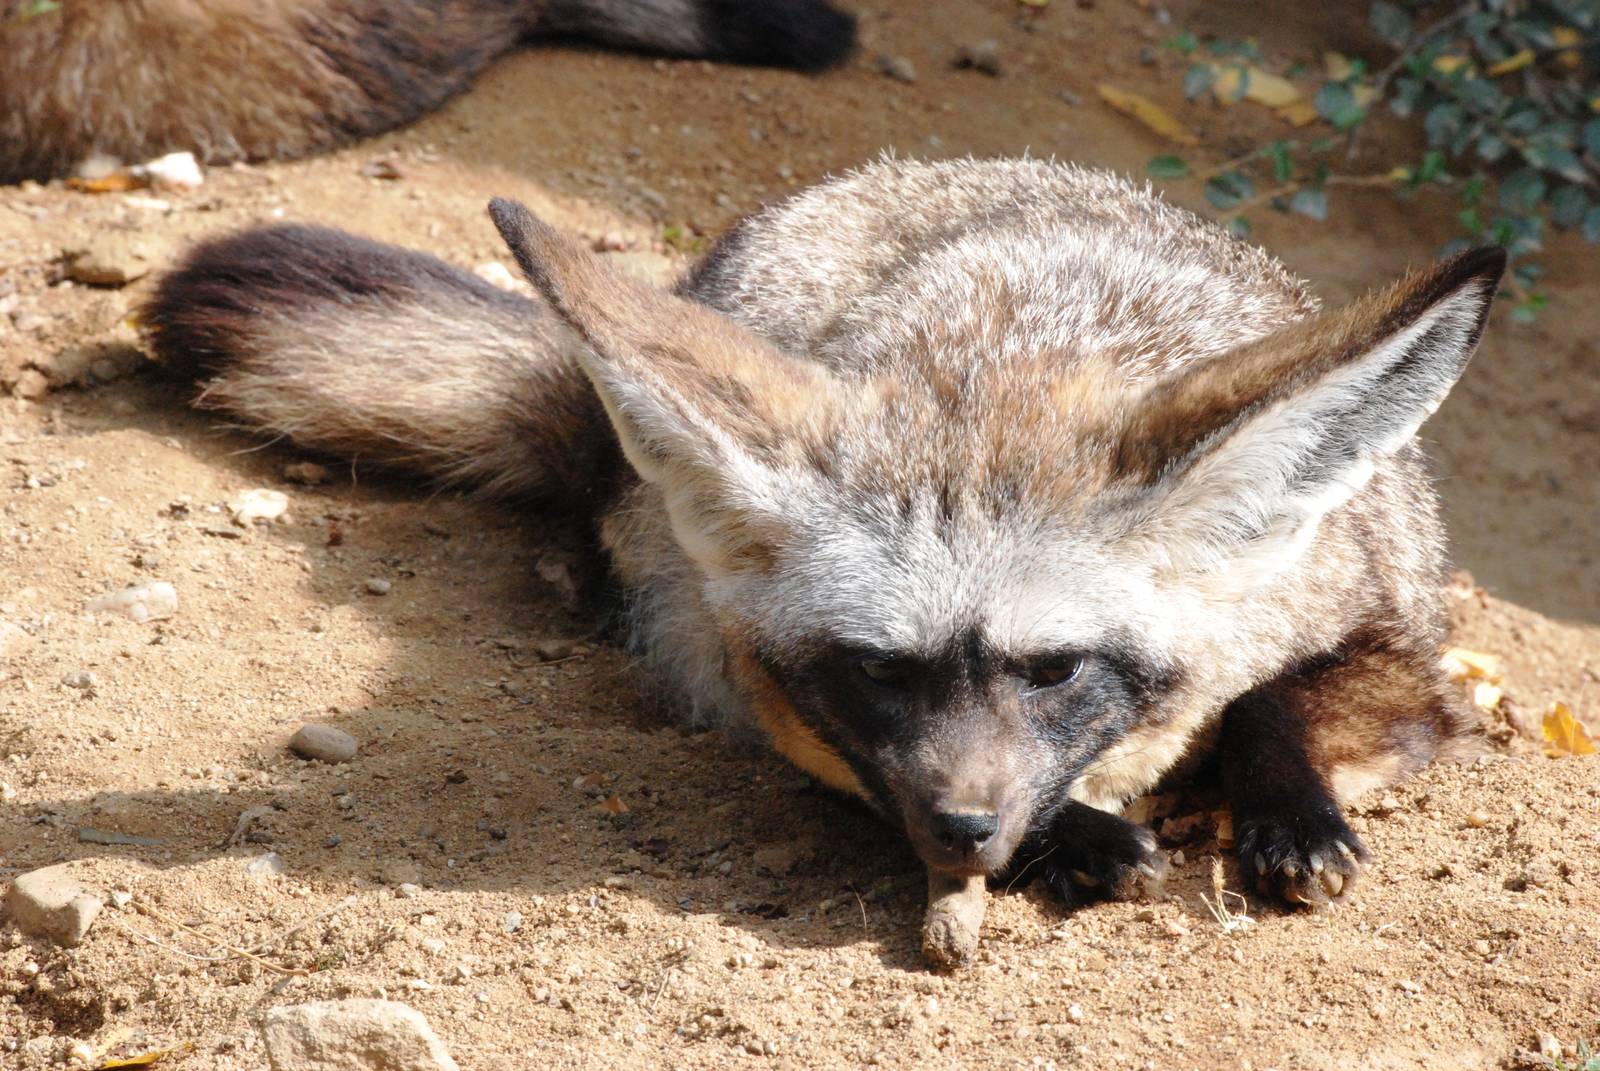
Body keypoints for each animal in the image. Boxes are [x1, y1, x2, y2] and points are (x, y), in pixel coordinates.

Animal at [139, 157, 1504, 918]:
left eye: (1056, 669)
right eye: (877, 672)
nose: (967, 835)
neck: (1021, 335)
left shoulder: (1397, 629)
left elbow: (1286, 699)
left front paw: (1290, 815)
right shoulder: (742, 683)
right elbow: (863, 771)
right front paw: (1075, 840)